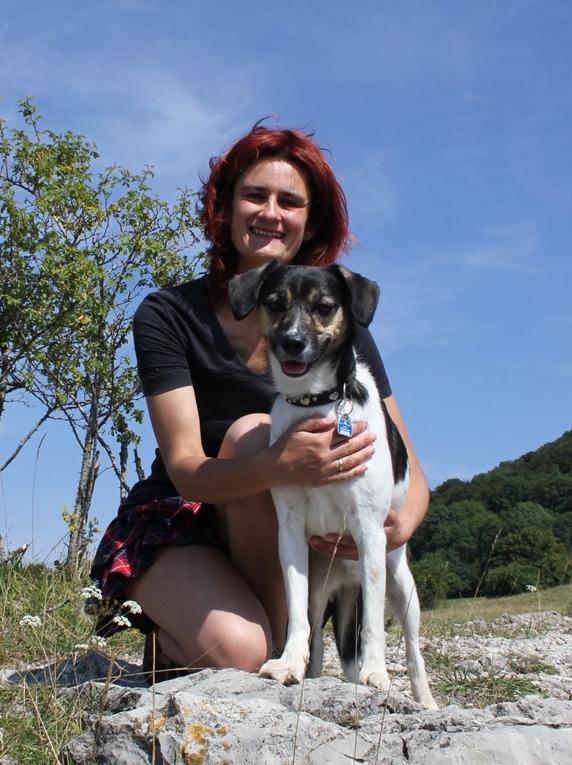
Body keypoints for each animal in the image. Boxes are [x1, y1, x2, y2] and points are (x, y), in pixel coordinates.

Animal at [228, 262, 438, 712]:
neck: (319, 403)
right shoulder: (290, 533)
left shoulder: (370, 530)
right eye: (275, 304)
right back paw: (311, 673)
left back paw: (424, 699)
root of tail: (346, 582)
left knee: (412, 646)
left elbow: (375, 623)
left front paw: (376, 672)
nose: (292, 343)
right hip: (321, 588)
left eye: (324, 307)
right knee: (320, 640)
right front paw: (288, 664)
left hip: (402, 585)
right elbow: (296, 618)